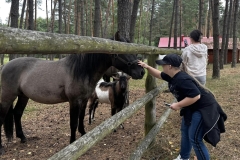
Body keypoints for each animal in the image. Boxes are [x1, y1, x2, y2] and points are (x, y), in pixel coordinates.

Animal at [0, 30, 144, 154]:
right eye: (124, 52)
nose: (142, 71)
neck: (81, 71)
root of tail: (4, 66)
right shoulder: (74, 101)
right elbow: (73, 122)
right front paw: (73, 142)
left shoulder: (84, 100)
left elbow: (81, 117)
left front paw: (84, 136)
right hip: (7, 97)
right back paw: (2, 148)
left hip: (23, 96)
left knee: (17, 113)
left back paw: (23, 138)